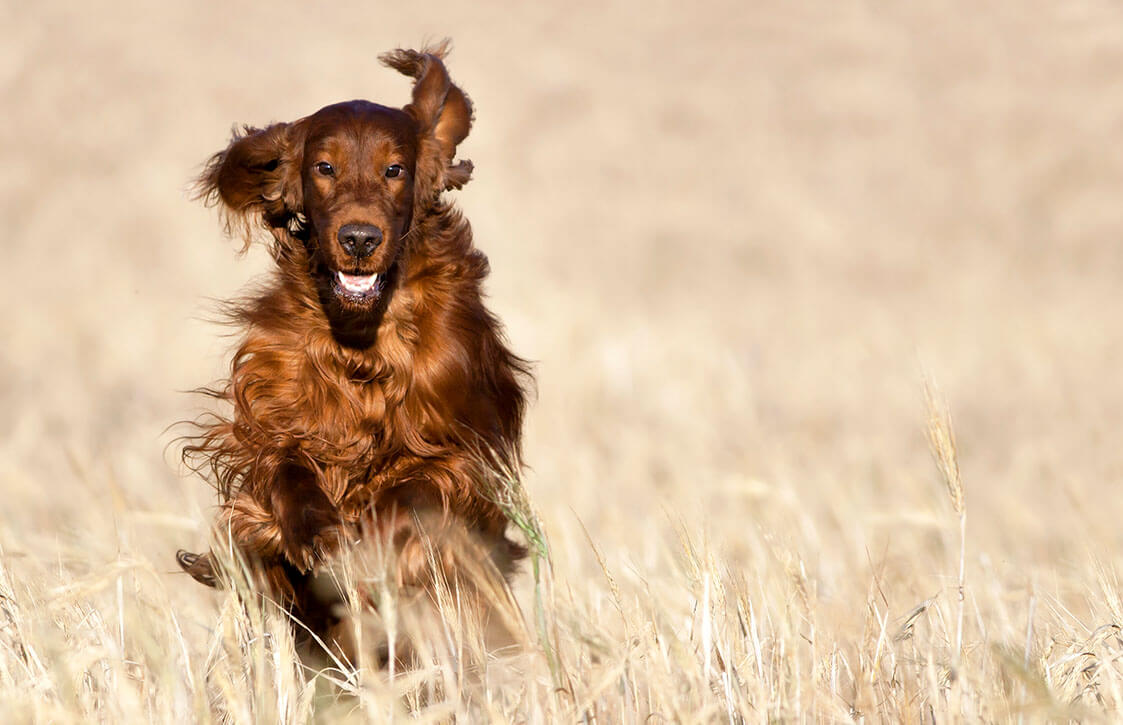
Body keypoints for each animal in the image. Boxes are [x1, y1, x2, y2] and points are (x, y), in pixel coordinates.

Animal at [174, 42, 530, 659]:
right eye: (324, 167)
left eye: (395, 169)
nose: (359, 238)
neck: (362, 339)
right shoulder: (274, 417)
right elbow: (284, 470)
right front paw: (314, 533)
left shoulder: (458, 453)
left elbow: (409, 493)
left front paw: (363, 547)